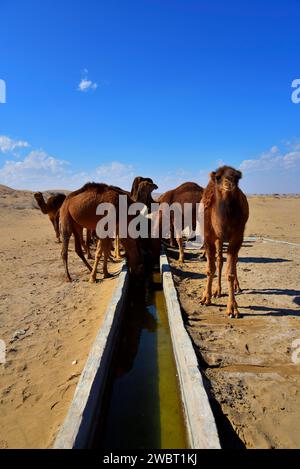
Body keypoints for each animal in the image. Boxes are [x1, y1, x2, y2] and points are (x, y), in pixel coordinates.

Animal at [200, 165, 250, 318]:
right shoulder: (209, 236)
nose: (229, 183)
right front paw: (206, 298)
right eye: (218, 177)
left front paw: (232, 309)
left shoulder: (237, 237)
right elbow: (210, 269)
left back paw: (236, 287)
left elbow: (230, 273)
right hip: (218, 240)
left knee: (234, 260)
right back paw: (217, 291)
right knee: (219, 260)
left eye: (237, 177)